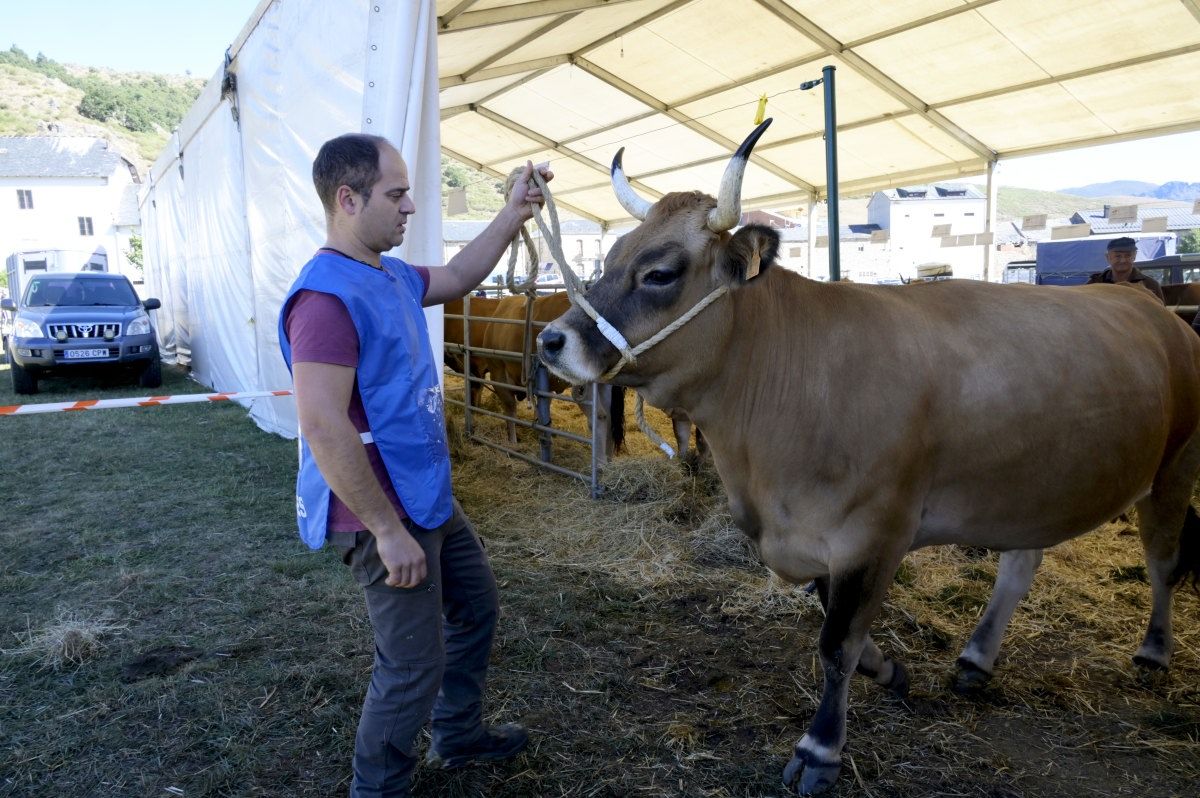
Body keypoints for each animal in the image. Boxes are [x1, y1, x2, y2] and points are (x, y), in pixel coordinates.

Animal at [542, 121, 1200, 792]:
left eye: (660, 273)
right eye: (612, 255)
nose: (550, 340)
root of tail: (1158, 311)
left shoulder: (874, 532)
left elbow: (837, 643)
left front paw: (819, 749)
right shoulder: (814, 537)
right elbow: (843, 632)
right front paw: (888, 670)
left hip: (1175, 464)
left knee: (1163, 560)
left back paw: (1153, 650)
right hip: (1035, 486)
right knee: (1021, 564)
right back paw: (977, 657)